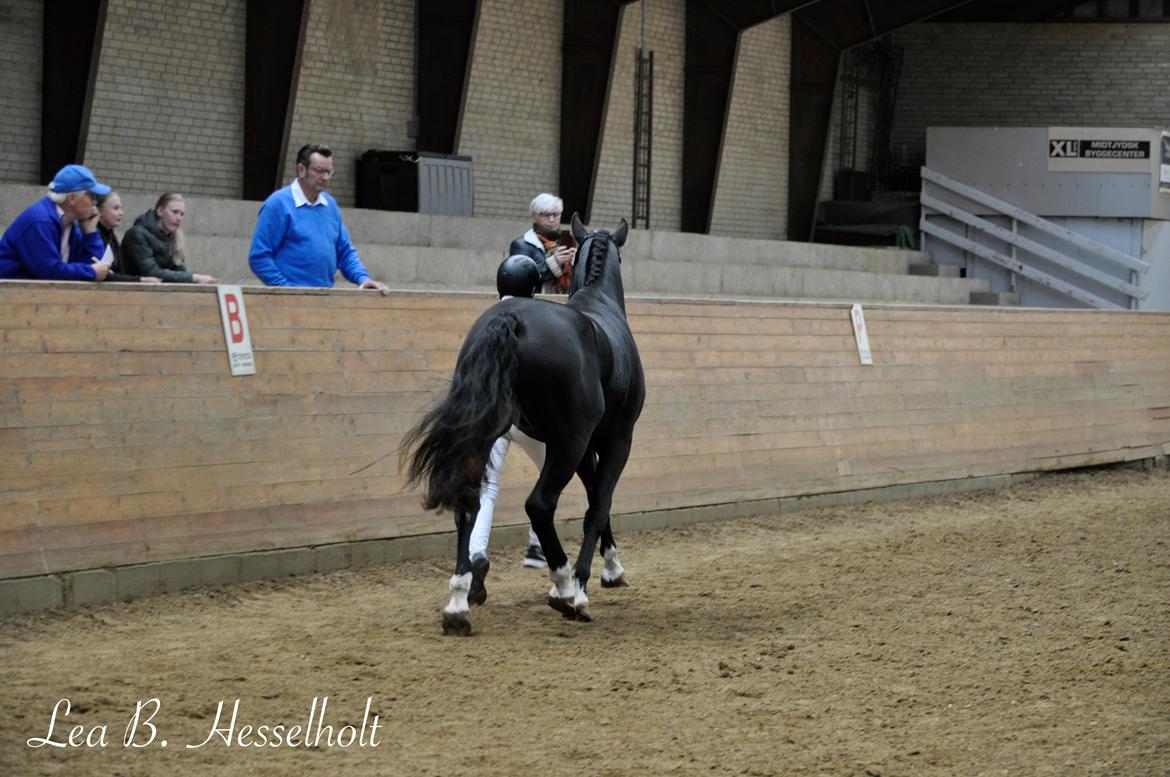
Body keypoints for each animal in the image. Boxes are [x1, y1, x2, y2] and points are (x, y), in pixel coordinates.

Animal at [400, 215, 641, 636]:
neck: (600, 306)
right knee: (540, 504)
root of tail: (509, 318)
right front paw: (589, 581)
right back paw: (565, 589)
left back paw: (459, 602)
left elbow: (597, 497)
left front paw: (611, 568)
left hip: (486, 439)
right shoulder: (614, 440)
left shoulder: (586, 449)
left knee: (470, 504)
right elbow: (599, 504)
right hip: (566, 445)